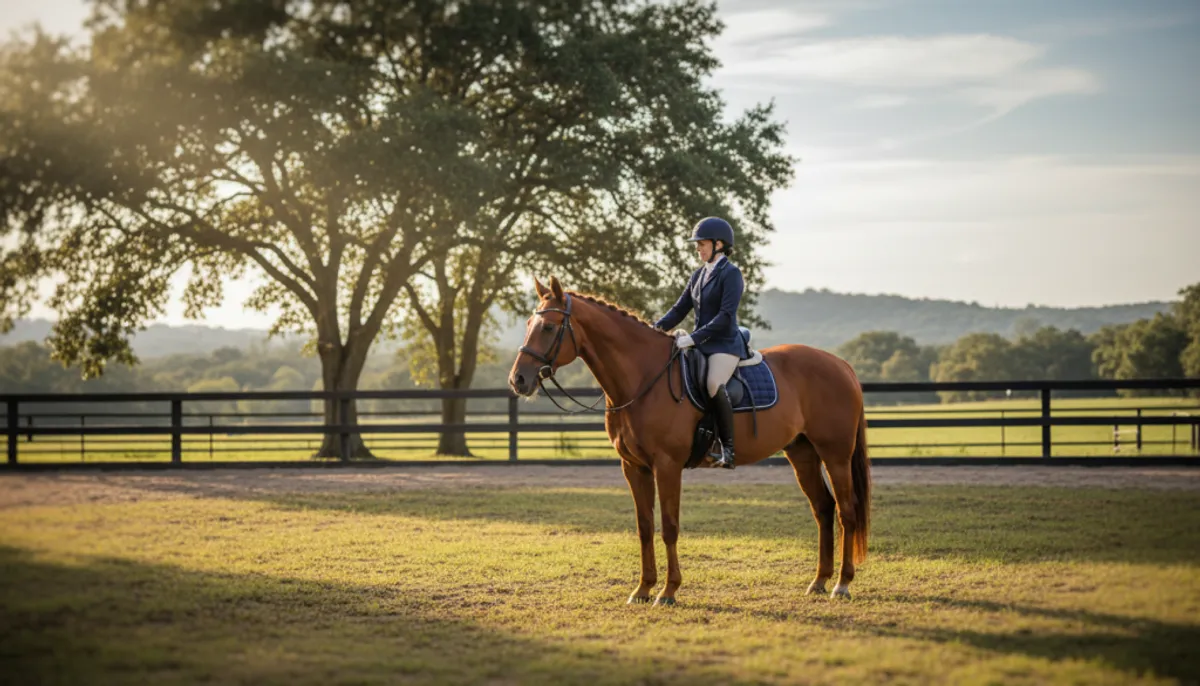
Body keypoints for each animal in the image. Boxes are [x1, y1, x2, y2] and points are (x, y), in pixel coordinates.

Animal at [507, 276, 871, 605]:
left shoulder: (667, 466)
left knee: (846, 511)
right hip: (802, 453)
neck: (642, 378)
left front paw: (668, 592)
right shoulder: (634, 467)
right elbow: (644, 526)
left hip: (835, 455)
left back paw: (842, 584)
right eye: (528, 324)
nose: (518, 380)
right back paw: (819, 581)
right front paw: (642, 589)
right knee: (823, 508)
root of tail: (841, 364)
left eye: (548, 328)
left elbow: (669, 526)